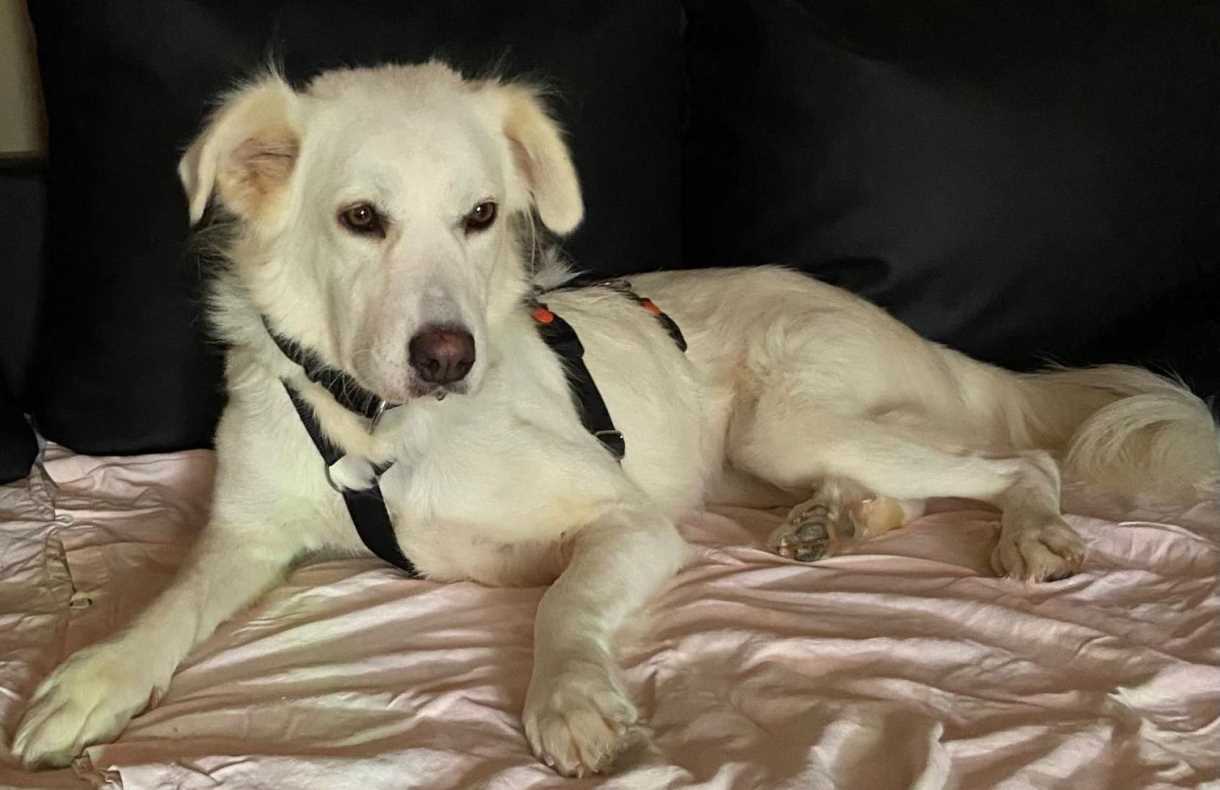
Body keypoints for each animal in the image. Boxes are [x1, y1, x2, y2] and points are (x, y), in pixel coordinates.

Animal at [13, 61, 1220, 777]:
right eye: (359, 219)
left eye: (481, 215)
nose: (447, 356)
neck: (382, 435)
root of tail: (894, 318)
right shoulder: (245, 531)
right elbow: (170, 604)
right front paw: (93, 680)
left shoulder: (627, 519)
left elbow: (566, 602)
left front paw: (573, 695)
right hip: (775, 454)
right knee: (906, 490)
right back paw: (828, 524)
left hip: (789, 422)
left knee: (1015, 460)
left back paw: (1027, 526)